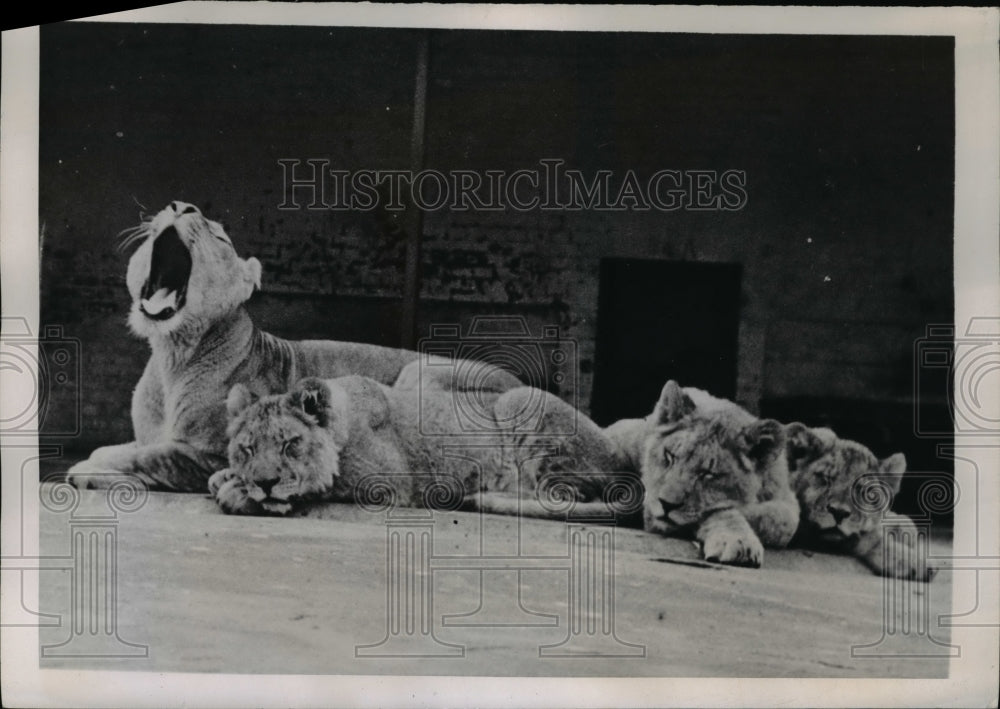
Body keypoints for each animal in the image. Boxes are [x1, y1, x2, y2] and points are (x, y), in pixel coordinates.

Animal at [66, 202, 520, 492]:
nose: (180, 205)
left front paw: (89, 469)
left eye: (220, 237)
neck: (172, 355)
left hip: (416, 374)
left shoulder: (212, 453)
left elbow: (148, 457)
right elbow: (119, 447)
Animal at [211, 374, 632, 516]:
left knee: (564, 497)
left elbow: (318, 485)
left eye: (291, 444)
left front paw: (238, 492)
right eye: (247, 448)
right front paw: (226, 477)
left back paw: (483, 494)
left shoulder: (387, 483)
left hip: (519, 402)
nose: (264, 482)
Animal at [788, 424, 936, 584]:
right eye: (825, 479)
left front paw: (902, 526)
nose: (839, 513)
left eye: (864, 491)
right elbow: (873, 540)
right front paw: (919, 563)